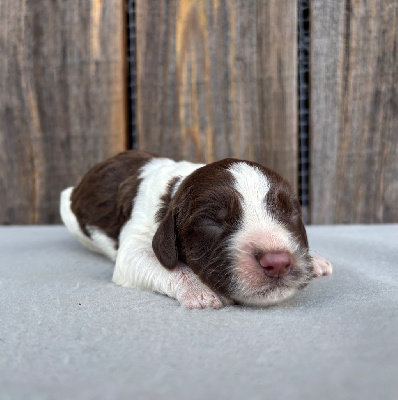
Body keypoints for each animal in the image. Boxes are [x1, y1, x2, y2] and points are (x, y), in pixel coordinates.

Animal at [59, 150, 332, 310]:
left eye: (289, 212)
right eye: (211, 221)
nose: (278, 262)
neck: (174, 190)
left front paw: (314, 260)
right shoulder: (134, 241)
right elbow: (157, 262)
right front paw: (199, 289)